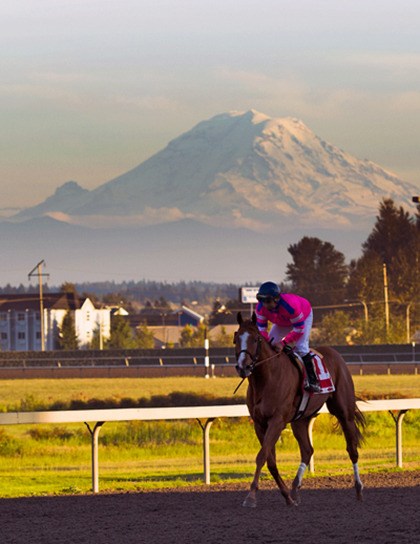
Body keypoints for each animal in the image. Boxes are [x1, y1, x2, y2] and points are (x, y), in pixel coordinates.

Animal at [233, 312, 364, 508]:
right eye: (236, 338)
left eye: (256, 339)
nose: (243, 367)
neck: (267, 379)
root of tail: (335, 354)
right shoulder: (259, 423)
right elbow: (270, 460)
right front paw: (287, 496)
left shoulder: (277, 421)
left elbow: (262, 456)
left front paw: (251, 496)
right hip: (300, 420)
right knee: (308, 450)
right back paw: (295, 489)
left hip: (344, 412)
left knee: (352, 449)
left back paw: (358, 489)